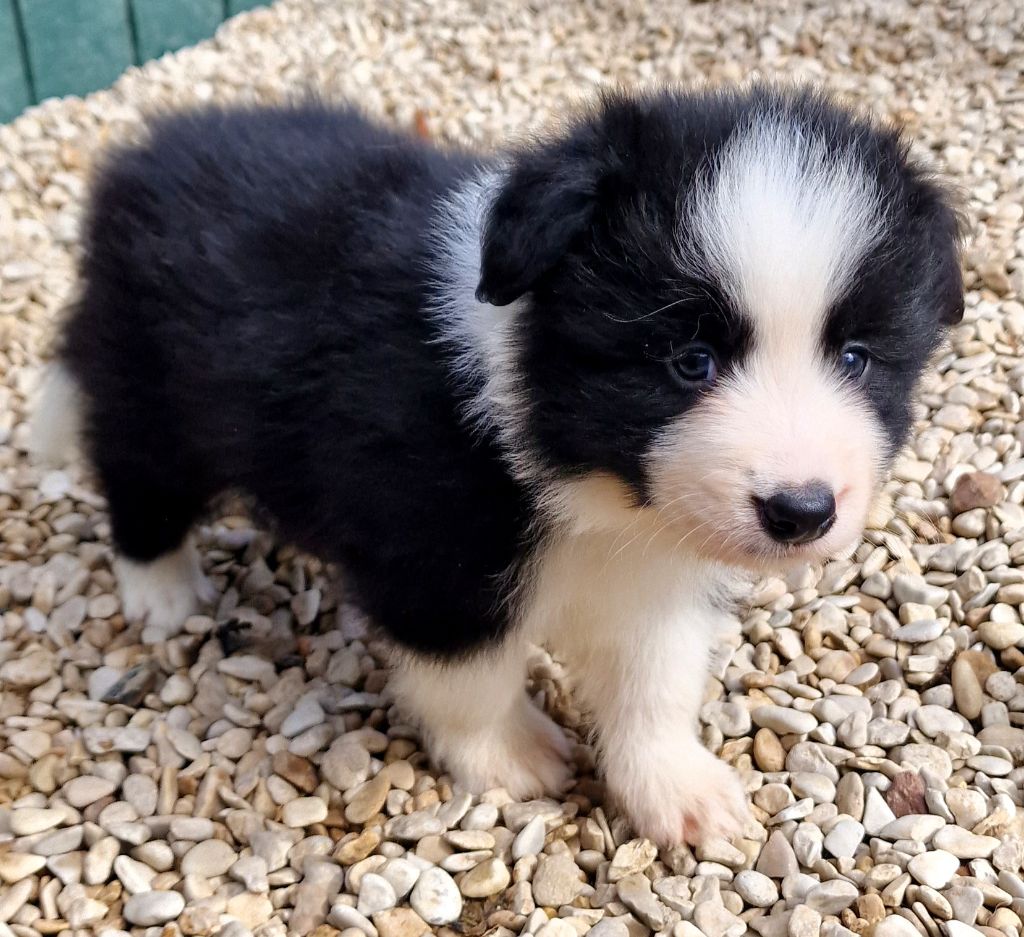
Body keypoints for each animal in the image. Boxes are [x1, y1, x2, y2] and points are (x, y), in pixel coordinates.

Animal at [32, 84, 963, 846]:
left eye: (856, 357)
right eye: (688, 360)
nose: (802, 511)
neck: (589, 484)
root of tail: (143, 154)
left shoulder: (655, 570)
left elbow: (655, 678)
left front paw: (678, 789)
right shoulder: (436, 551)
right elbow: (469, 673)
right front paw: (511, 755)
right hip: (150, 386)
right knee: (136, 475)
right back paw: (162, 591)